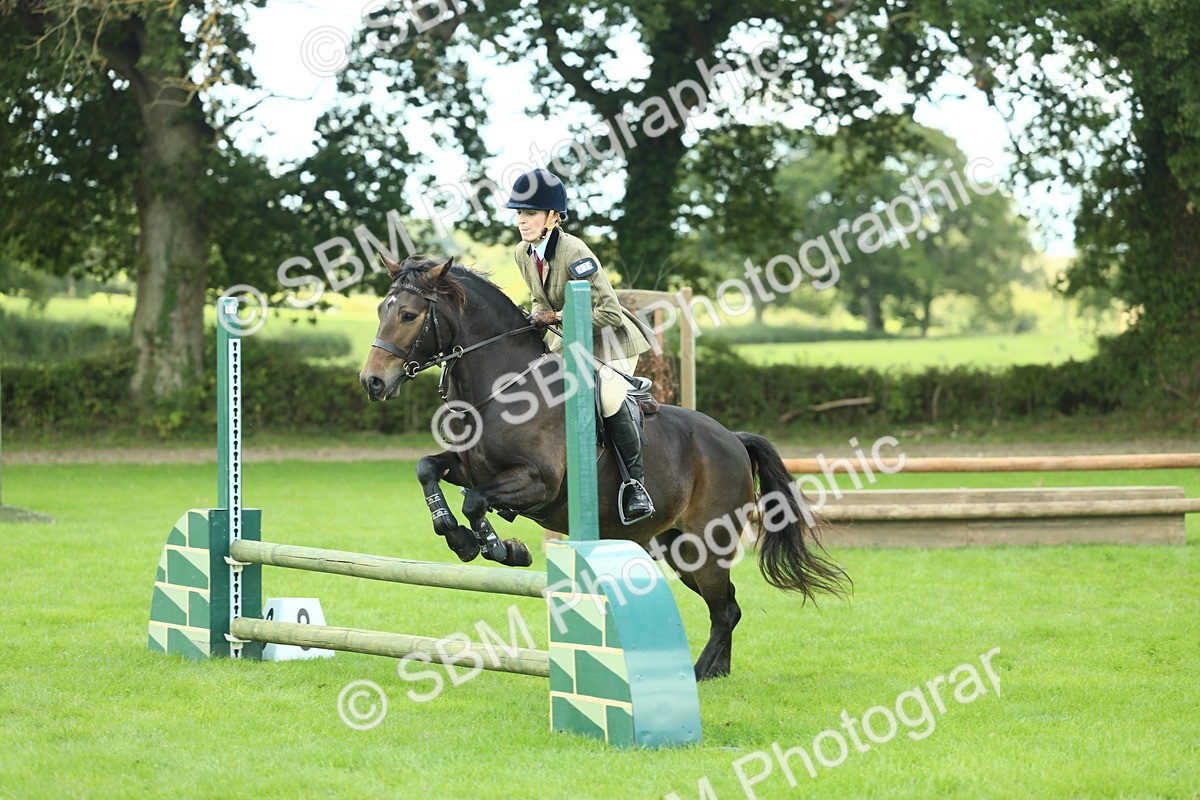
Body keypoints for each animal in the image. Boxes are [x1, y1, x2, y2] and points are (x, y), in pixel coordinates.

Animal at [359, 254, 849, 680]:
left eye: (408, 315)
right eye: (381, 310)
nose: (373, 382)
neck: (503, 391)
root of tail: (733, 439)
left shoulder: (537, 483)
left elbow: (477, 502)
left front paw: (502, 548)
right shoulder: (467, 467)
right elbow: (427, 469)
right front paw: (458, 536)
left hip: (705, 544)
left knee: (725, 607)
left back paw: (699, 672)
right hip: (675, 547)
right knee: (726, 605)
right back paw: (717, 671)